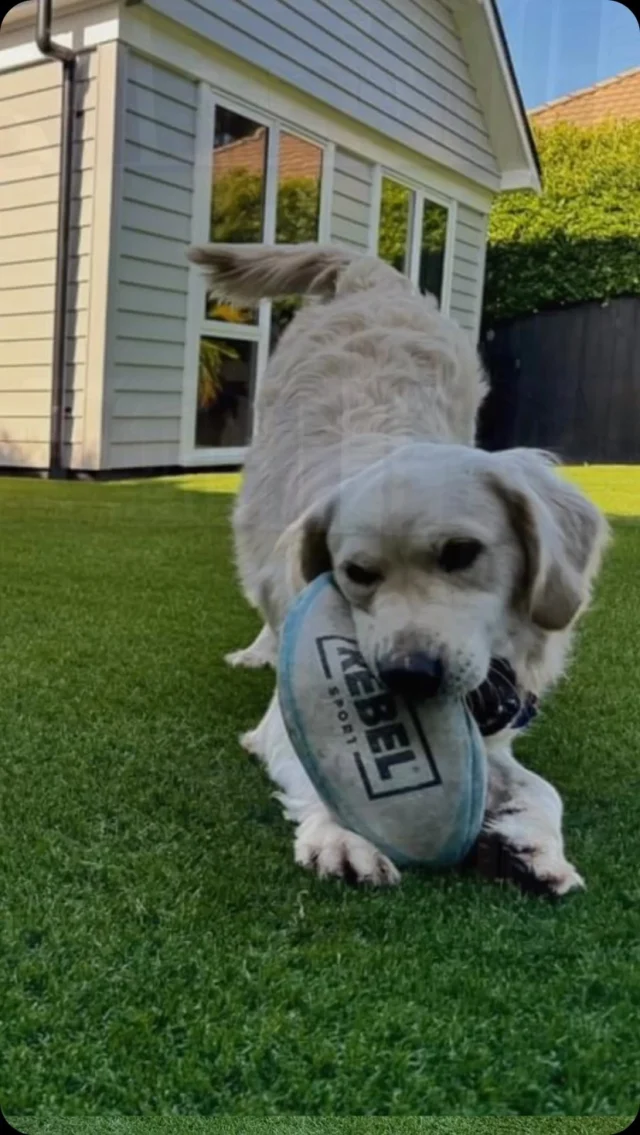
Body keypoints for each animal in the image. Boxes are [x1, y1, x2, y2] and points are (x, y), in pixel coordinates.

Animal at [187, 241, 608, 894]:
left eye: (460, 553)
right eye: (357, 574)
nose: (410, 674)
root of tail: (367, 276)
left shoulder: (498, 732)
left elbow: (543, 790)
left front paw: (535, 844)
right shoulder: (285, 720)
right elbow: (323, 768)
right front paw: (343, 836)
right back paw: (259, 649)